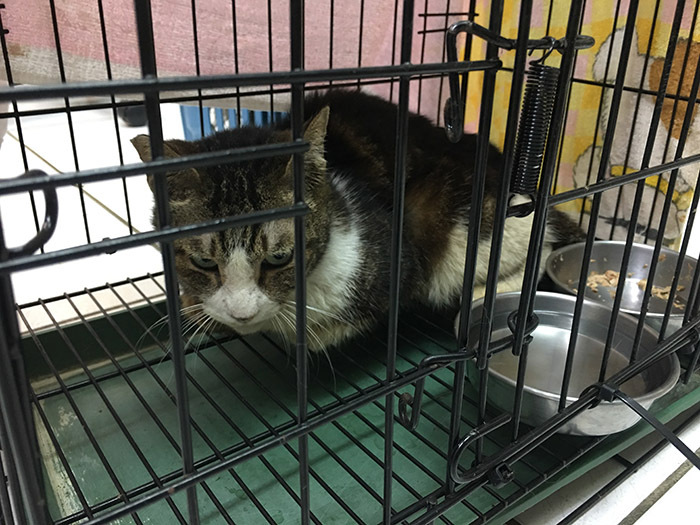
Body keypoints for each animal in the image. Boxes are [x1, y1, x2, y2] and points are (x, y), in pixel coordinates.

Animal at [131, 90, 582, 350]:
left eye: (279, 258)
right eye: (203, 262)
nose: (242, 314)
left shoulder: (394, 262)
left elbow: (327, 329)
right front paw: (200, 309)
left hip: (456, 219)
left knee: (537, 249)